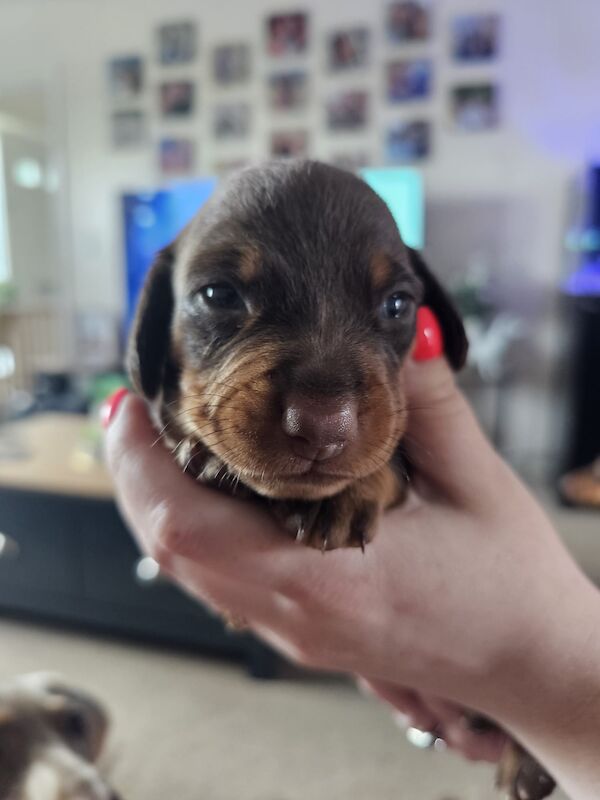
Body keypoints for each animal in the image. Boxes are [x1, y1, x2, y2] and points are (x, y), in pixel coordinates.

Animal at [129, 159, 556, 796]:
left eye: (399, 306)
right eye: (218, 295)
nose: (322, 426)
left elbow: (388, 464)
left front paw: (343, 497)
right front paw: (203, 452)